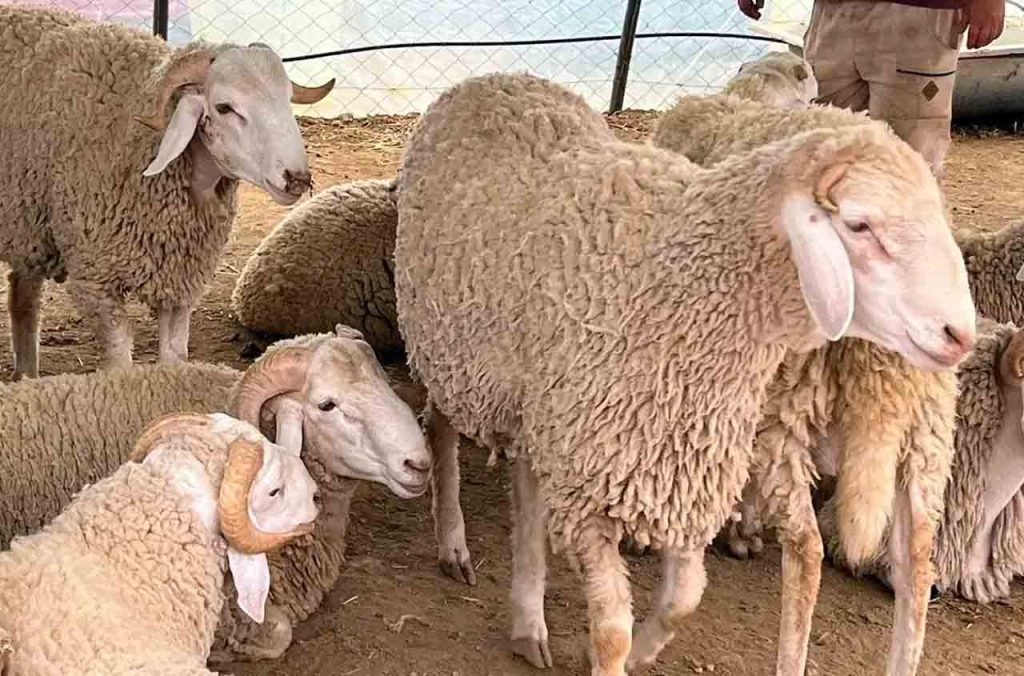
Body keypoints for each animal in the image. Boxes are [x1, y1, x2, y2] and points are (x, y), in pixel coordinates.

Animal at [0, 5, 334, 378]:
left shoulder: (179, 281)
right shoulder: (96, 280)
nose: (296, 178)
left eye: (287, 100)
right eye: (224, 107)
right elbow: (120, 359)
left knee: (23, 298)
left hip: (28, 227)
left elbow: (174, 356)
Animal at [393, 72, 976, 675]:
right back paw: (453, 543)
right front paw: (617, 653)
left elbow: (684, 597)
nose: (961, 335)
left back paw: (528, 618)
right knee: (439, 426)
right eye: (860, 225)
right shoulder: (596, 498)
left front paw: (644, 652)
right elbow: (611, 631)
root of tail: (494, 79)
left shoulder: (680, 472)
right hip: (450, 349)